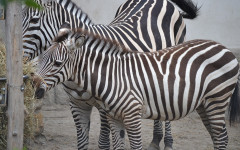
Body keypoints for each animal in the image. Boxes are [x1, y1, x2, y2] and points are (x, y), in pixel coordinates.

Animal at [22, 0, 199, 148]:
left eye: (34, 20)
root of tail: (160, 0)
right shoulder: (77, 104)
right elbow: (82, 142)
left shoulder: (104, 106)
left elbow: (104, 143)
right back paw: (155, 140)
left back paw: (167, 142)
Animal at [32, 28, 240, 149]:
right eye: (41, 59)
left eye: (57, 63)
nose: (34, 87)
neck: (113, 77)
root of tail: (224, 48)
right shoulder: (114, 117)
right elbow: (118, 146)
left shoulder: (132, 116)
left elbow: (136, 146)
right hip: (204, 104)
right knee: (219, 136)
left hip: (217, 100)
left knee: (221, 138)